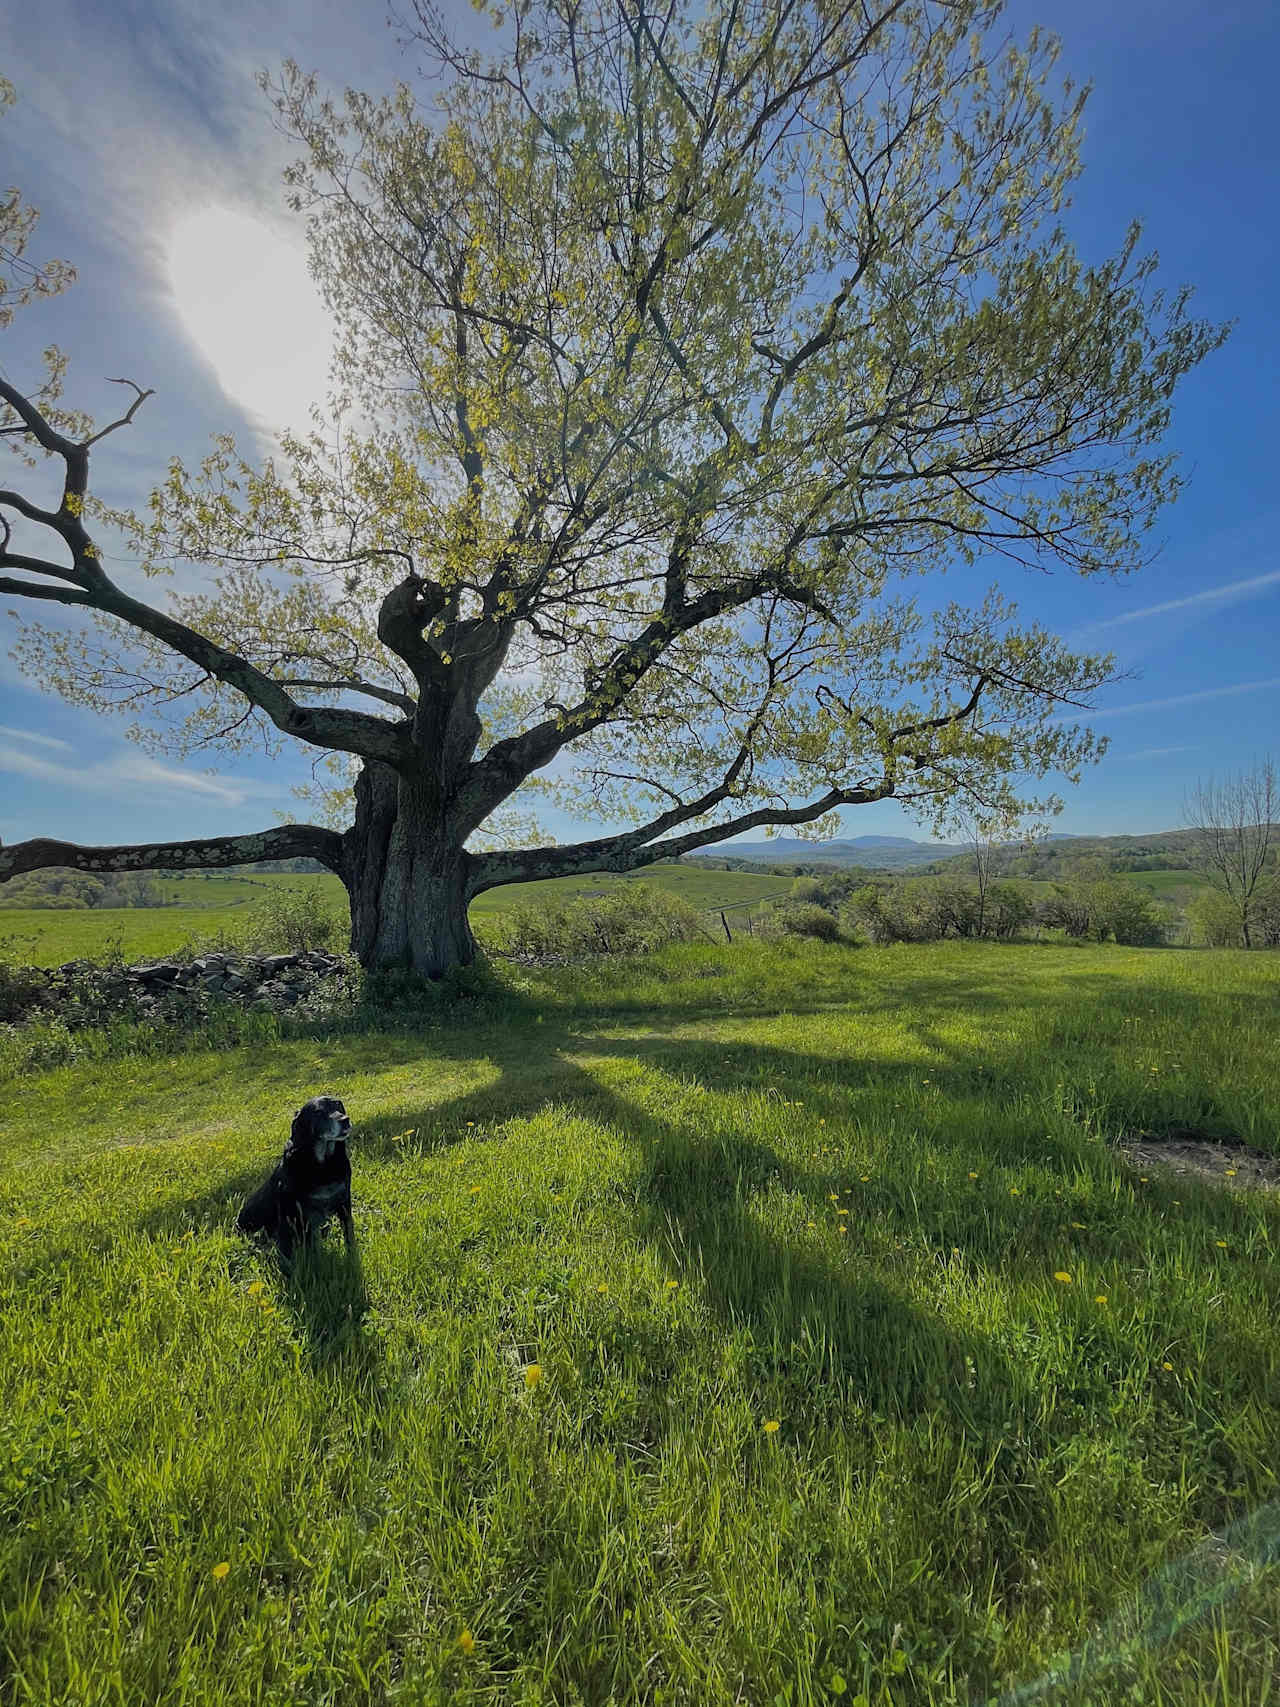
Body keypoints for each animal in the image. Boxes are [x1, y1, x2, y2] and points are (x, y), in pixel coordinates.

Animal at [235, 1099, 353, 1263]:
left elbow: (349, 1236)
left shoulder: (344, 1202)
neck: (322, 1166)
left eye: (338, 1105)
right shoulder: (292, 1213)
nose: (345, 1119)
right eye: (318, 1112)